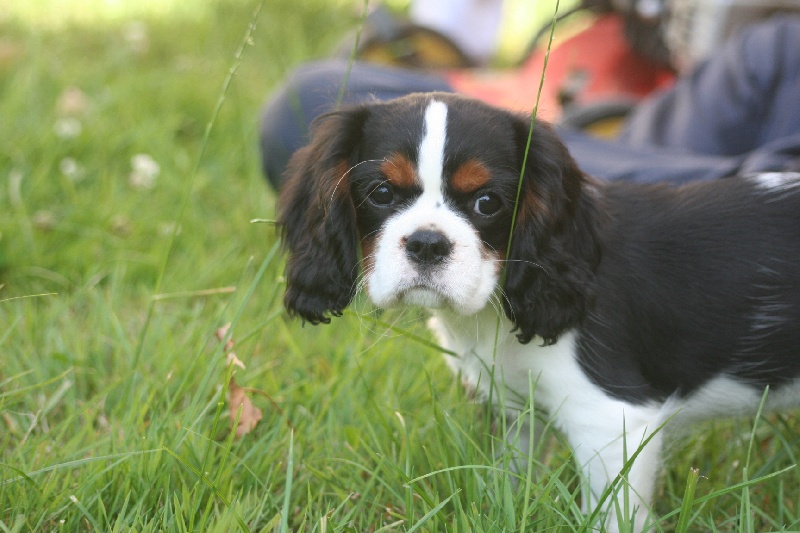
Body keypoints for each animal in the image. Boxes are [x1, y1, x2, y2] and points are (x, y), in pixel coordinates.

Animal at [276, 91, 800, 528]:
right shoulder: (514, 411)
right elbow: (507, 477)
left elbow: (611, 514)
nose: (427, 243)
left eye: (488, 202)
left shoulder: (610, 421)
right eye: (381, 193)